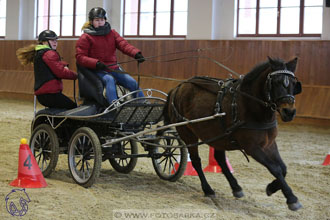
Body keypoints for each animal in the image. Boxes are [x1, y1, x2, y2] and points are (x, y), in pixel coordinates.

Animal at [164, 57, 302, 211]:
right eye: (276, 82)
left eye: (294, 83)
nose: (289, 112)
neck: (250, 106)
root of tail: (178, 87)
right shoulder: (252, 148)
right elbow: (275, 169)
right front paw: (291, 199)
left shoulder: (269, 144)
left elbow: (283, 168)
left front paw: (271, 188)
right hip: (188, 133)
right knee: (196, 161)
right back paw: (208, 189)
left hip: (218, 135)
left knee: (220, 159)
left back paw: (236, 187)